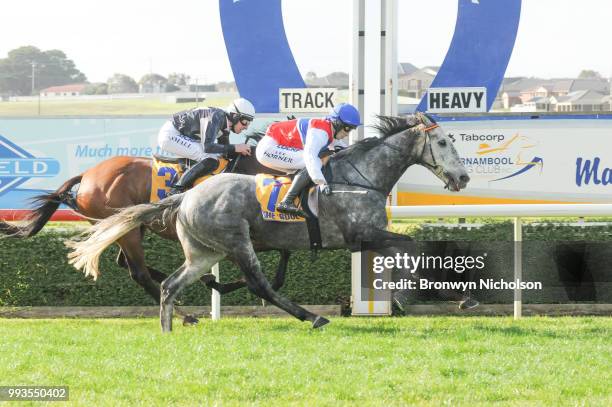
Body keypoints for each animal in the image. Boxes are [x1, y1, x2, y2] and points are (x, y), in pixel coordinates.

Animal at [0, 145, 288, 324]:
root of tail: (88, 175)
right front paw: (224, 285)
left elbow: (280, 268)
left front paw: (217, 282)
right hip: (124, 228)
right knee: (138, 272)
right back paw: (186, 314)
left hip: (127, 226)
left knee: (127, 264)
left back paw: (199, 286)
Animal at [67, 113, 468, 334]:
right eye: (443, 142)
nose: (463, 178)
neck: (361, 177)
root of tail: (184, 197)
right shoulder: (362, 234)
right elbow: (413, 249)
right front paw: (433, 294)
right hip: (233, 242)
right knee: (252, 282)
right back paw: (309, 317)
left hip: (201, 249)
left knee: (165, 280)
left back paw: (180, 317)